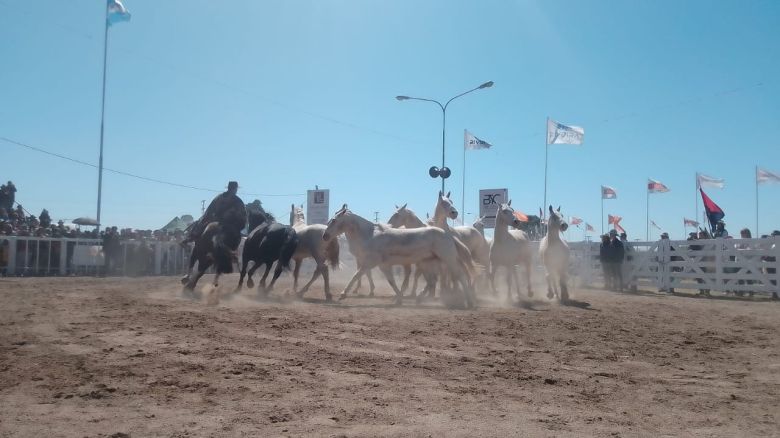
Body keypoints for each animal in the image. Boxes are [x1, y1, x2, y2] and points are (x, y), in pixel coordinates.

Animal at [322, 205, 476, 308]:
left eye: (334, 220)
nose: (325, 236)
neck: (369, 235)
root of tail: (447, 234)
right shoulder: (383, 266)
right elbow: (391, 281)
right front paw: (399, 299)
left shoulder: (370, 263)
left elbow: (356, 275)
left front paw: (343, 295)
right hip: (427, 263)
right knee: (432, 281)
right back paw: (420, 299)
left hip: (448, 260)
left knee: (460, 276)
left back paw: (469, 301)